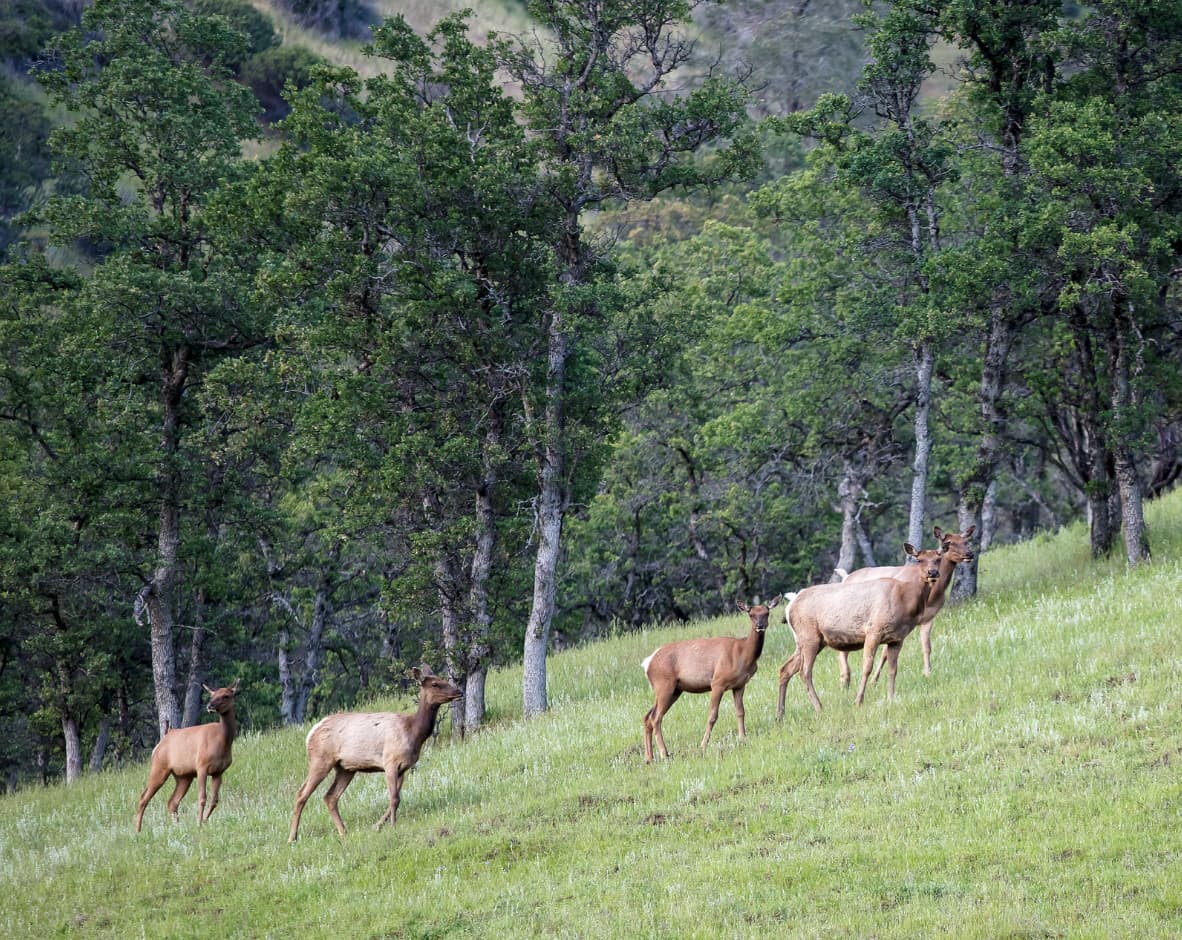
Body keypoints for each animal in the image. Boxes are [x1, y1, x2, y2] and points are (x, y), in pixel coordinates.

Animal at [134, 680, 241, 833]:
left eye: (226, 695)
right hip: (159, 768)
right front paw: (199, 823)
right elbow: (202, 797)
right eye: (212, 695)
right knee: (143, 798)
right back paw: (138, 831)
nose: (210, 705)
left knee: (172, 801)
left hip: (184, 776)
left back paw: (178, 826)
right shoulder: (201, 766)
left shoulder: (219, 771)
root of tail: (162, 741)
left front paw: (205, 821)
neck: (223, 741)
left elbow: (214, 800)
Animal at [288, 664, 461, 842]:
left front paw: (377, 826)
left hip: (345, 768)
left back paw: (343, 832)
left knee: (330, 796)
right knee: (301, 794)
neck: (414, 732)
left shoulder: (403, 768)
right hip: (320, 760)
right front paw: (392, 826)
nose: (459, 691)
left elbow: (396, 798)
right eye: (435, 684)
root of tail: (310, 735)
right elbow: (394, 798)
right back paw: (292, 837)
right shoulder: (390, 761)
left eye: (443, 679)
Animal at [642, 595, 782, 763]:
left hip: (674, 690)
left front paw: (742, 738)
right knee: (655, 718)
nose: (760, 626)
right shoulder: (717, 682)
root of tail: (647, 663)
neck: (744, 653)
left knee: (647, 717)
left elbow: (740, 711)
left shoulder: (739, 685)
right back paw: (664, 754)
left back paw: (649, 758)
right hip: (664, 685)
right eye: (751, 614)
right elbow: (712, 716)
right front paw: (703, 745)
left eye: (766, 613)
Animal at [776, 544, 942, 717]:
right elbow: (867, 667)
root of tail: (789, 607)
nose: (933, 573)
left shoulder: (897, 639)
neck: (905, 600)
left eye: (939, 558)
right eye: (920, 559)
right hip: (809, 637)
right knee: (804, 672)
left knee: (785, 669)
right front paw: (858, 701)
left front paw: (891, 699)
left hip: (809, 641)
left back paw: (780, 714)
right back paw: (819, 707)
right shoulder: (873, 631)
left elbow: (893, 669)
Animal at [833, 526, 975, 686]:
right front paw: (874, 681)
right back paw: (844, 679)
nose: (970, 553)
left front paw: (927, 673)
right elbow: (884, 654)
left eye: (965, 541)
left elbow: (926, 646)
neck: (931, 596)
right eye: (949, 542)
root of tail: (846, 577)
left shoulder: (928, 618)